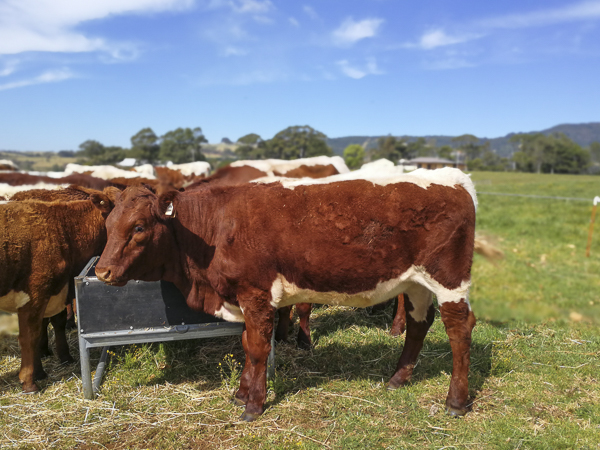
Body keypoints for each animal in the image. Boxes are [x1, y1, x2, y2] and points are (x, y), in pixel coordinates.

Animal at [0, 193, 114, 394]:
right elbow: (30, 337)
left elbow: (54, 324)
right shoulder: (34, 295)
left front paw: (46, 367)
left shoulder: (55, 294)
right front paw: (29, 382)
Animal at [95, 168, 478, 422]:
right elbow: (247, 345)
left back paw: (456, 401)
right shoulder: (244, 298)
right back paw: (398, 379)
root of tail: (453, 177)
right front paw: (240, 394)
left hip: (449, 280)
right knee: (418, 324)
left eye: (139, 227)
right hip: (415, 283)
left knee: (459, 330)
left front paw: (254, 404)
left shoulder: (255, 294)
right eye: (108, 224)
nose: (102, 272)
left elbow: (258, 349)